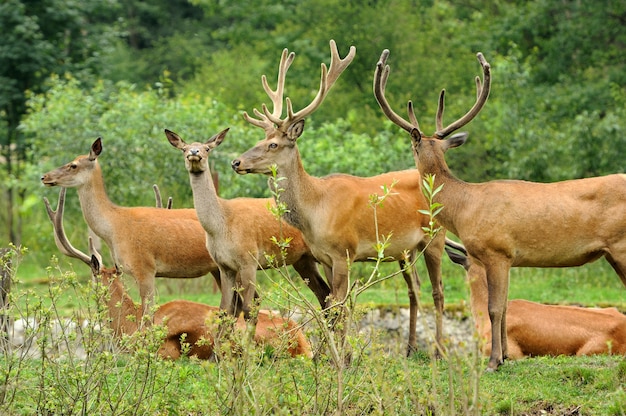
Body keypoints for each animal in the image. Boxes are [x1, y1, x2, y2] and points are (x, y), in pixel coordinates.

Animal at [166, 128, 332, 320]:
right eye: (183, 149)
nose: (194, 153)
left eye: (207, 148)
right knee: (325, 295)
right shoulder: (223, 266)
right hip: (303, 260)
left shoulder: (249, 260)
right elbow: (224, 310)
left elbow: (248, 308)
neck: (220, 226)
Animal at [232, 40, 446, 356]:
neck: (315, 211)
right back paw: (411, 349)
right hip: (407, 250)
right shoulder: (324, 257)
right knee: (416, 288)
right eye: (259, 140)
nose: (236, 162)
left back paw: (440, 351)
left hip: (436, 236)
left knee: (438, 290)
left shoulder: (345, 251)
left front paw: (342, 357)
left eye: (273, 144)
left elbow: (341, 308)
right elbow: (330, 307)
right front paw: (329, 355)